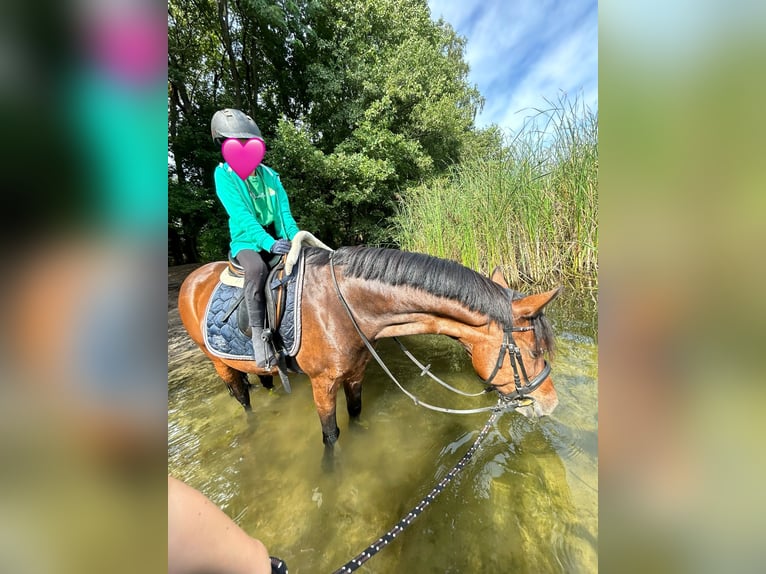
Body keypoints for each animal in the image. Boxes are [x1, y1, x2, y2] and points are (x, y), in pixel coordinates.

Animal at [178, 246, 561, 449]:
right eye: (532, 352)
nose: (552, 404)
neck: (343, 307)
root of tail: (192, 278)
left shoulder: (356, 372)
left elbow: (357, 413)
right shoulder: (323, 383)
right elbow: (330, 434)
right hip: (218, 362)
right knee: (242, 397)